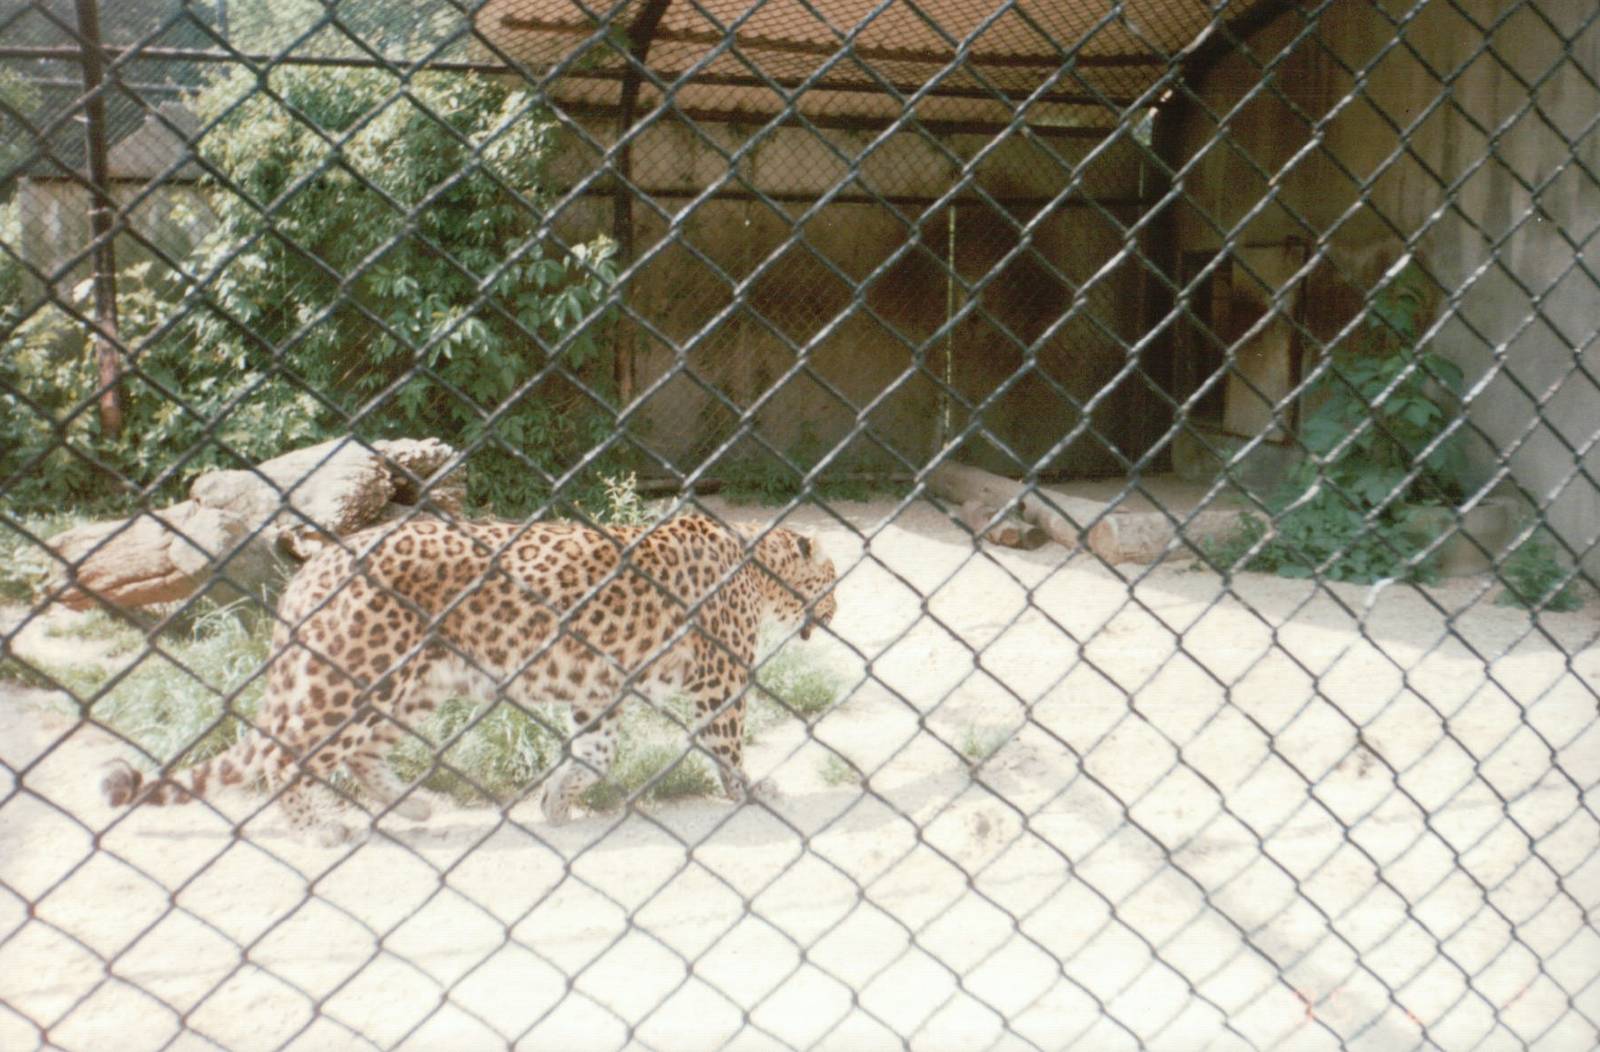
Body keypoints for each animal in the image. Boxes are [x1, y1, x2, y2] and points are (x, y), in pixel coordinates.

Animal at [101, 513, 837, 845]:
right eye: (829, 579)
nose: (835, 611)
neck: (756, 567)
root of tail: (312, 569)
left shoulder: (599, 691)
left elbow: (594, 753)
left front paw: (554, 803)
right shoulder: (720, 680)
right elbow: (728, 744)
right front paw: (753, 790)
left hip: (410, 684)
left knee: (360, 753)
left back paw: (415, 807)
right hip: (360, 678)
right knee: (290, 756)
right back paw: (322, 829)